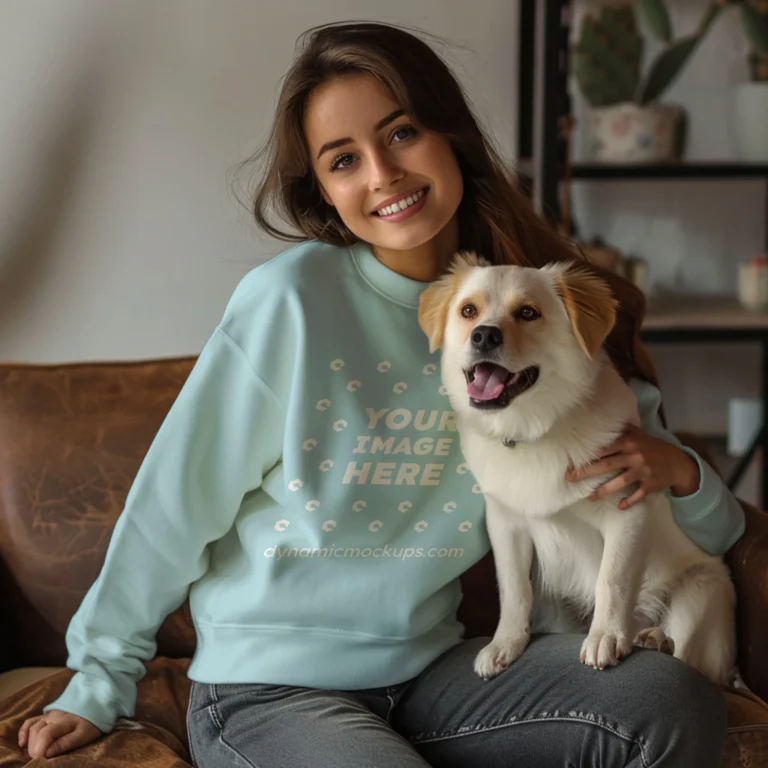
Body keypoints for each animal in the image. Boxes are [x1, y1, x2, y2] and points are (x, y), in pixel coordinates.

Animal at [420, 252, 736, 684]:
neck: (533, 430)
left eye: (528, 312)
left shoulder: (626, 511)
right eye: (468, 311)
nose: (483, 335)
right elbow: (514, 589)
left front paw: (607, 636)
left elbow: (611, 580)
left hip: (700, 592)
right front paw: (505, 643)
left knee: (690, 656)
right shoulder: (506, 525)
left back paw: (653, 638)